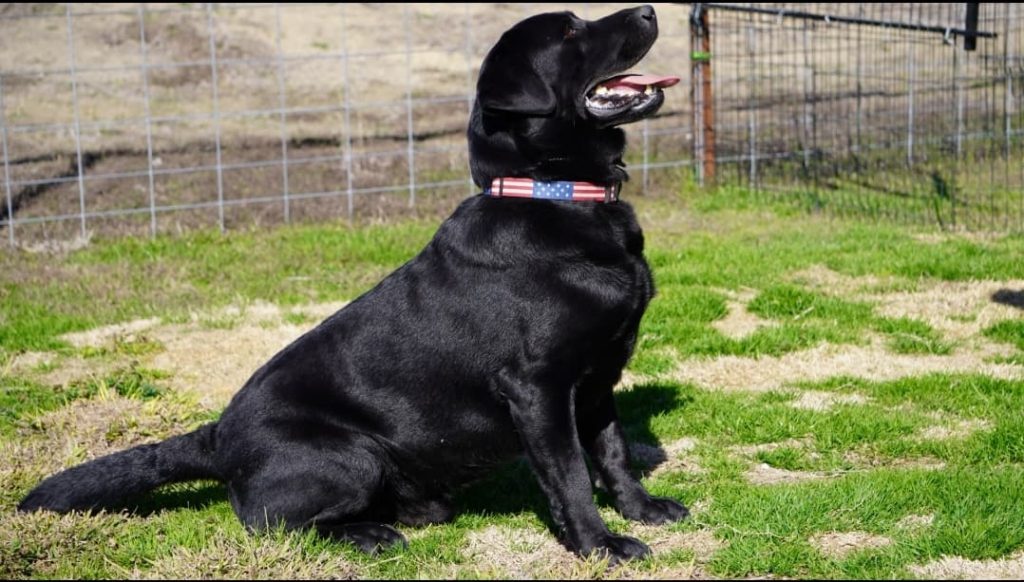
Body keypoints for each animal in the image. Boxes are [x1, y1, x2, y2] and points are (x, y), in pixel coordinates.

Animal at [18, 3, 688, 565]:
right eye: (572, 31)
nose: (651, 9)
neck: (556, 195)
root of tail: (218, 438)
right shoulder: (539, 388)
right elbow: (571, 474)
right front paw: (600, 545)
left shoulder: (596, 377)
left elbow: (613, 451)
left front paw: (643, 510)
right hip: (352, 455)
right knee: (268, 522)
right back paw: (368, 534)